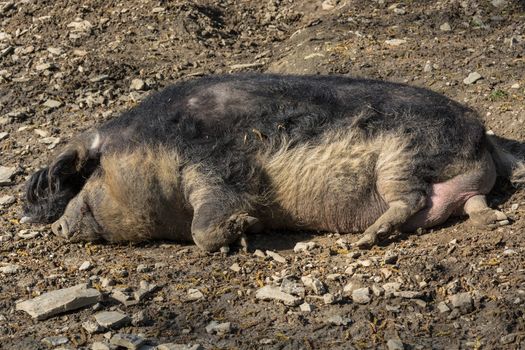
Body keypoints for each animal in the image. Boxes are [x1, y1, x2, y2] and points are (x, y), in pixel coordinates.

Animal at [21, 74, 524, 250]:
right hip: (449, 180)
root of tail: (482, 132)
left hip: (402, 156)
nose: (58, 225)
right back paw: (489, 223)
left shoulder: (216, 166)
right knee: (472, 202)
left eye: (91, 178)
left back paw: (367, 238)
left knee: (412, 197)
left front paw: (243, 232)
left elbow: (206, 224)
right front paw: (245, 232)